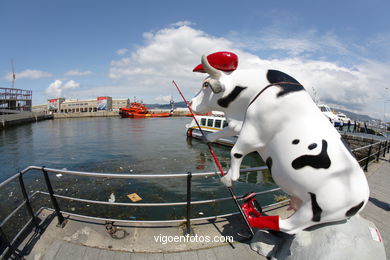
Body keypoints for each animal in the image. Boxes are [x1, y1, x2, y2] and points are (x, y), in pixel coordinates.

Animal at [190, 51, 370, 235]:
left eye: (206, 84)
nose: (190, 102)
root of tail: (362, 199)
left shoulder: (255, 130)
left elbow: (236, 151)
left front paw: (228, 179)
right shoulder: (243, 122)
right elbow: (229, 129)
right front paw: (208, 137)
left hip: (318, 210)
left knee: (290, 227)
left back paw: (253, 215)